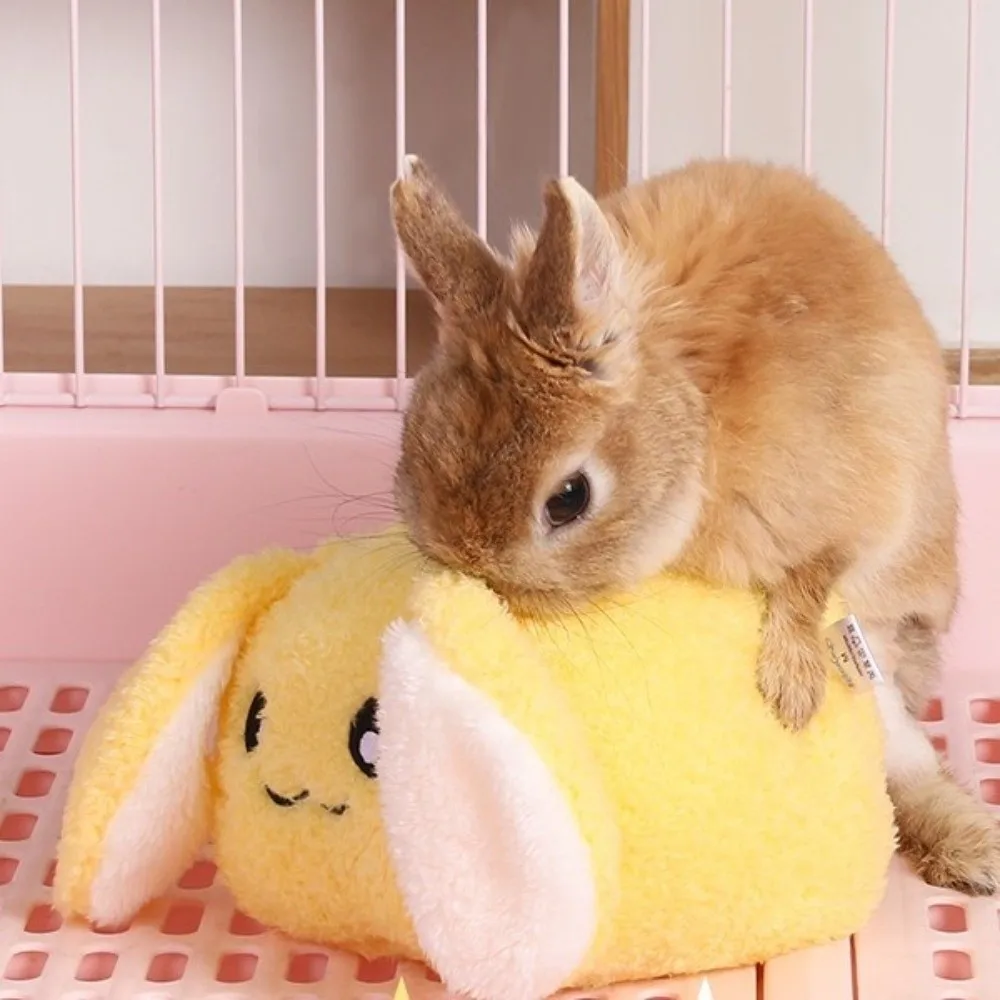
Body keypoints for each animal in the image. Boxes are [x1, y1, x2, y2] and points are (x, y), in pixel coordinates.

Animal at [388, 154, 1000, 896]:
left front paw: (792, 691)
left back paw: (976, 854)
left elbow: (810, 577)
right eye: (415, 439)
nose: (484, 576)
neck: (696, 414)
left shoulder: (859, 506)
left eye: (569, 498)